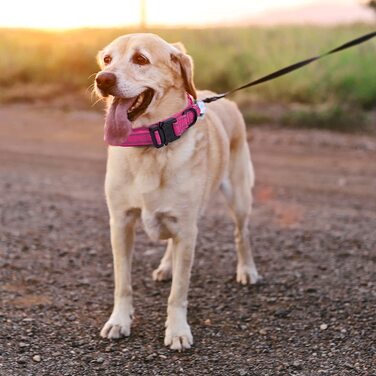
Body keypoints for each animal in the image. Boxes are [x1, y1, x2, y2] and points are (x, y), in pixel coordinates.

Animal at [94, 33, 260, 352]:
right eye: (107, 59)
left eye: (141, 59)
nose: (102, 79)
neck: (151, 144)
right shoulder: (120, 223)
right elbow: (123, 283)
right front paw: (119, 321)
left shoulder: (186, 229)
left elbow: (178, 293)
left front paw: (177, 330)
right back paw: (165, 267)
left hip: (239, 197)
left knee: (242, 234)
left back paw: (247, 270)